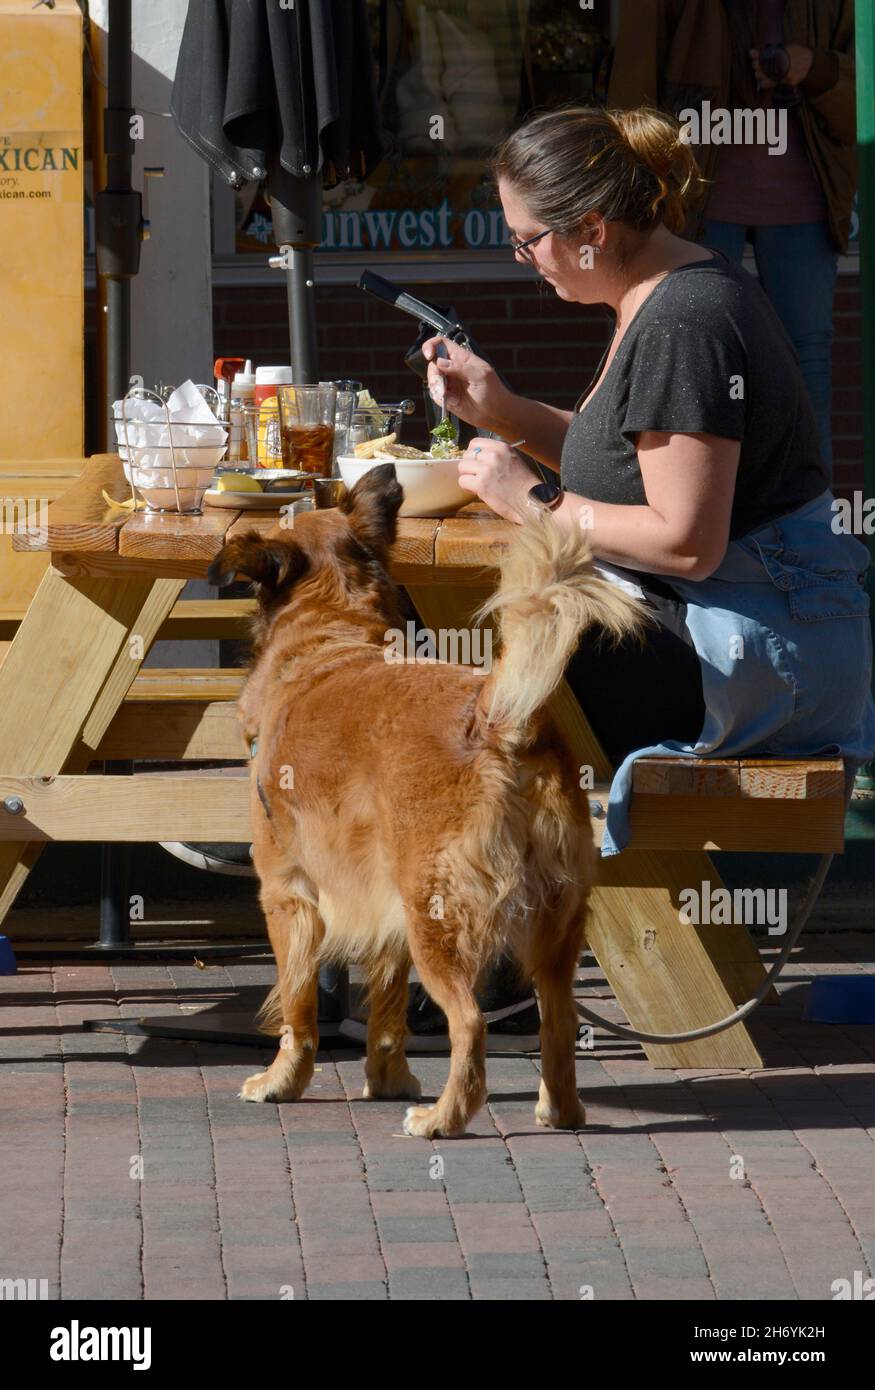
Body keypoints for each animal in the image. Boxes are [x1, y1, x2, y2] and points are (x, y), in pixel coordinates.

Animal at [205, 467, 642, 1139]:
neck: (330, 637)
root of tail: (496, 720)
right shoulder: (381, 906)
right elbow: (387, 1011)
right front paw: (386, 1080)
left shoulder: (289, 894)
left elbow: (298, 1007)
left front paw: (282, 1082)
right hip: (550, 922)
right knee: (559, 1020)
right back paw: (559, 1111)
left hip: (437, 917)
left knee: (470, 1021)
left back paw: (445, 1116)